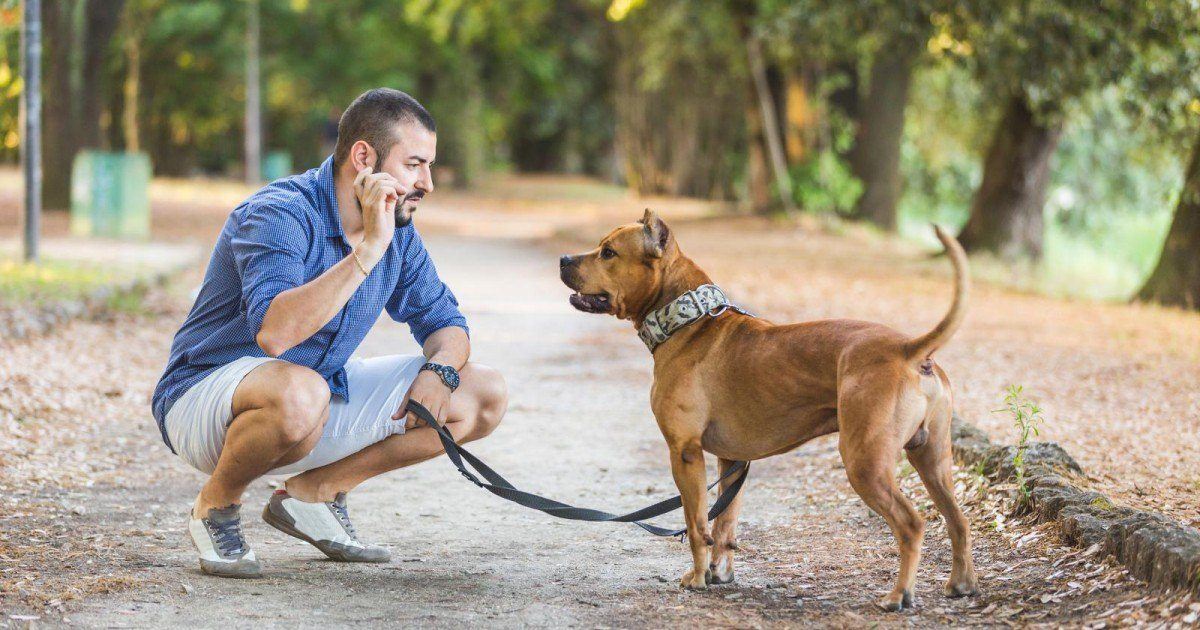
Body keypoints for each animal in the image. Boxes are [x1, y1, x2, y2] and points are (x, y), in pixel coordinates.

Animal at [559, 210, 974, 609]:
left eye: (608, 252)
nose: (563, 259)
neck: (688, 320)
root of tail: (907, 349)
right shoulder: (732, 460)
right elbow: (724, 523)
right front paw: (719, 572)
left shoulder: (685, 452)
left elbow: (696, 524)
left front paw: (697, 577)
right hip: (933, 460)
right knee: (958, 520)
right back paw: (961, 584)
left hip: (866, 463)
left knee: (911, 524)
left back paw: (898, 595)